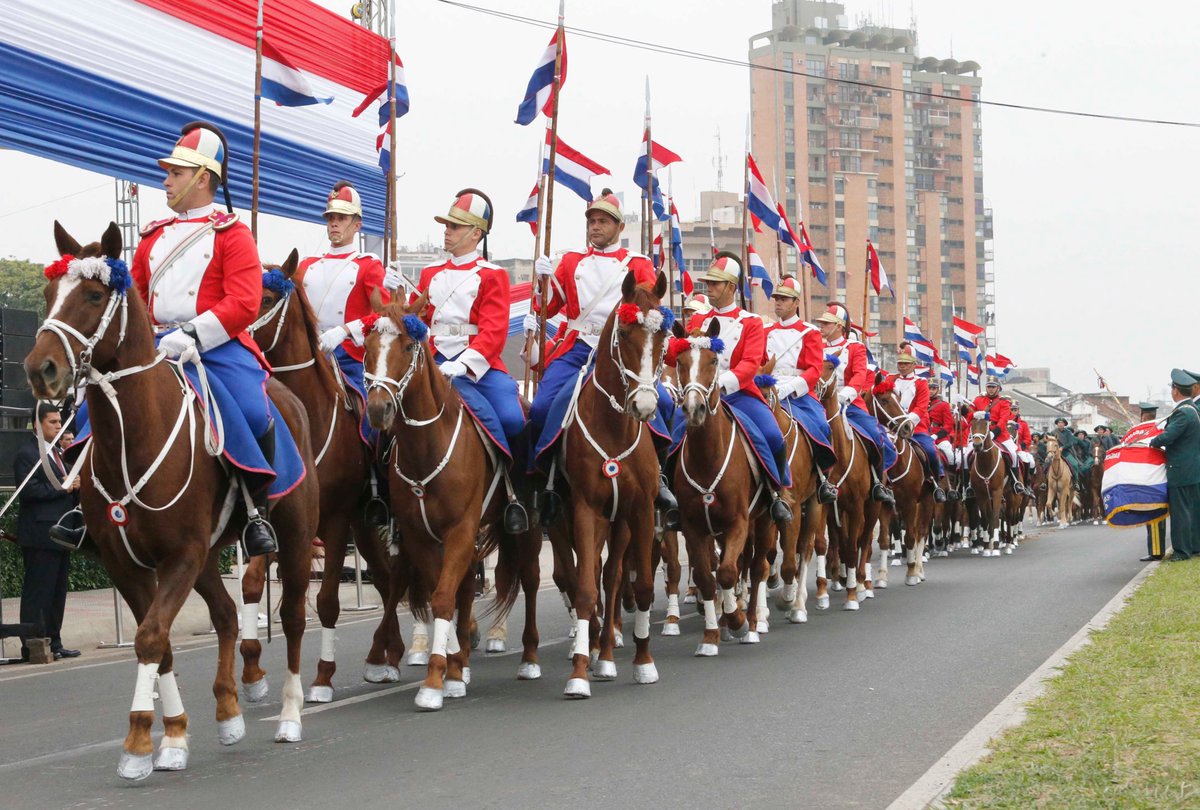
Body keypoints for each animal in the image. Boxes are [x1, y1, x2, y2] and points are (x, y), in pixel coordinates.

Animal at [28, 222, 319, 777]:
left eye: (94, 295)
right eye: (49, 294)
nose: (40, 369)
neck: (133, 436)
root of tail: (286, 395)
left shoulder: (180, 555)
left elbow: (149, 636)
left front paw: (139, 740)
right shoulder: (128, 563)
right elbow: (157, 642)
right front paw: (173, 737)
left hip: (291, 537)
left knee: (293, 615)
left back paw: (293, 715)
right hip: (208, 557)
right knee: (226, 615)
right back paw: (228, 710)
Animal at [246, 252, 400, 705]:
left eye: (266, 298)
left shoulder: (333, 521)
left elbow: (328, 600)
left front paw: (321, 678)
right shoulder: (275, 518)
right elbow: (250, 584)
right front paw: (252, 668)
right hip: (365, 526)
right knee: (387, 579)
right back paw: (388, 655)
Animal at [362, 292, 532, 710]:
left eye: (409, 347)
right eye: (367, 346)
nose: (378, 410)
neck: (427, 446)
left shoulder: (459, 530)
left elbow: (442, 598)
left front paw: (435, 680)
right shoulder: (421, 535)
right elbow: (442, 592)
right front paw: (451, 668)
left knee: (531, 582)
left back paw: (526, 659)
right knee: (463, 587)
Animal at [811, 364, 878, 612]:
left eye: (830, 365)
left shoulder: (857, 506)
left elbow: (852, 547)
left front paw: (852, 594)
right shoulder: (826, 505)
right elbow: (822, 543)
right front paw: (822, 593)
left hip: (873, 507)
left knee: (864, 540)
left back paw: (862, 584)